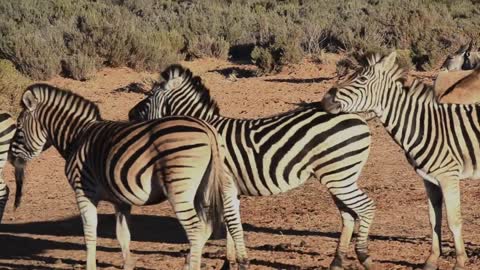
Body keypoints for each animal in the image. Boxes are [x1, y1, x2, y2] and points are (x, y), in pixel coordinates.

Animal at [9, 84, 249, 270]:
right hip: (206, 188)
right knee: (209, 226)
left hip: (179, 189)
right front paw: (127, 265)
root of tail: (207, 128)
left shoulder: (83, 191)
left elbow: (89, 232)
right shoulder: (121, 199)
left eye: (18, 128)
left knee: (196, 230)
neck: (78, 137)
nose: (11, 160)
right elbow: (123, 235)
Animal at [129, 64, 376, 268]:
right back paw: (337, 261)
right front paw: (228, 263)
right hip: (339, 176)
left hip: (338, 176)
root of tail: (356, 116)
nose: (130, 114)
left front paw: (241, 262)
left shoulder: (225, 185)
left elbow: (232, 225)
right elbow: (231, 225)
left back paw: (364, 255)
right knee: (348, 215)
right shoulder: (231, 190)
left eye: (149, 95)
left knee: (366, 207)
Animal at [320, 51, 478, 270]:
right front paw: (431, 260)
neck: (423, 126)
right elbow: (433, 220)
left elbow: (454, 221)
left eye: (361, 79)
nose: (324, 100)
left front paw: (460, 262)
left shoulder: (449, 177)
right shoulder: (429, 180)